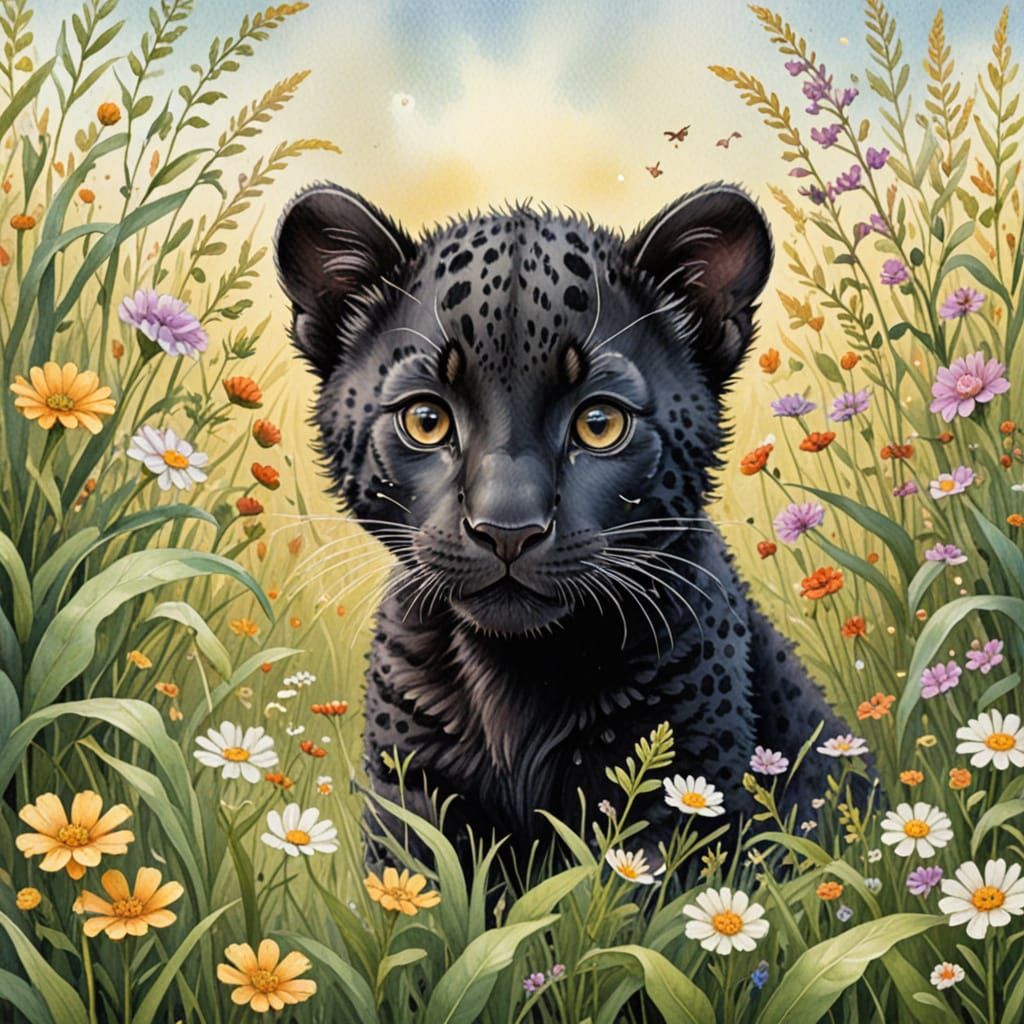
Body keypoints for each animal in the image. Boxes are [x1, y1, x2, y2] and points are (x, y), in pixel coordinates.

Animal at [274, 181, 853, 860]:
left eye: (599, 424)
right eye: (426, 420)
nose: (507, 530)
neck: (515, 679)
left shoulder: (675, 796)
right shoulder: (411, 800)